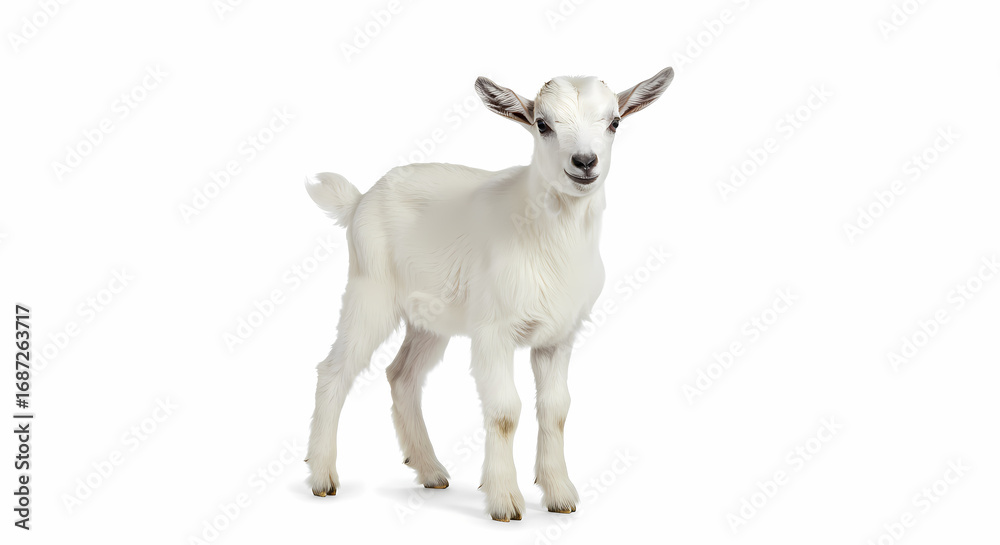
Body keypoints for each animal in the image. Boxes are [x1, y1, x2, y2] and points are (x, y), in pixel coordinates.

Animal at [304, 67, 674, 521]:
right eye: (542, 124)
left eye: (615, 122)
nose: (585, 162)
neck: (547, 238)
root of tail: (358, 202)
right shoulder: (492, 331)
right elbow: (504, 412)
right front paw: (504, 500)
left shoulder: (558, 338)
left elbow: (555, 410)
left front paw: (559, 494)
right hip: (369, 292)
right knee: (334, 370)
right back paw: (323, 476)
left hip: (431, 318)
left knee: (402, 375)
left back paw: (430, 470)